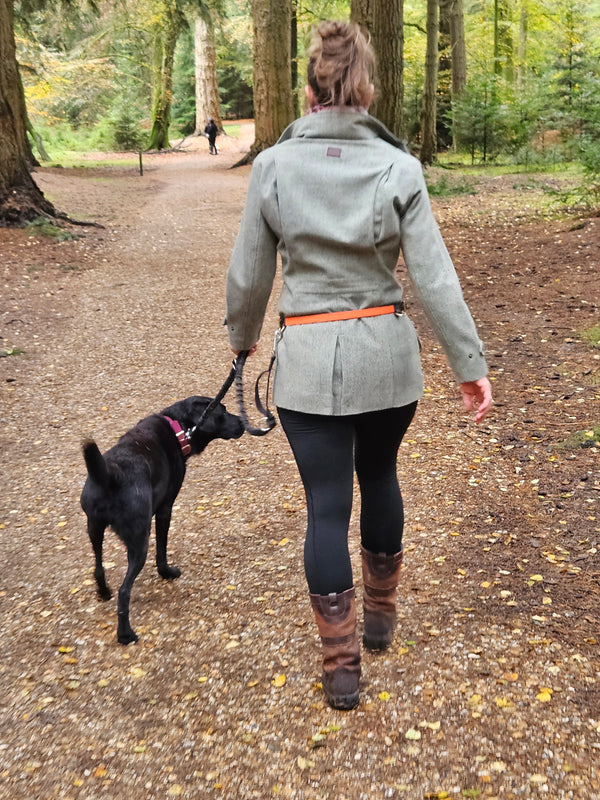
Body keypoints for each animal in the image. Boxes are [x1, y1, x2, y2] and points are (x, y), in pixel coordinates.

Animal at [80, 396, 244, 644]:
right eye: (222, 412)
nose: (243, 423)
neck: (178, 428)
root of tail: (110, 475)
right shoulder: (166, 509)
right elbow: (162, 549)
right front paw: (166, 572)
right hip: (139, 540)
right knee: (124, 591)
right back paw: (125, 634)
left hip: (94, 529)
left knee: (98, 569)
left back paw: (104, 592)